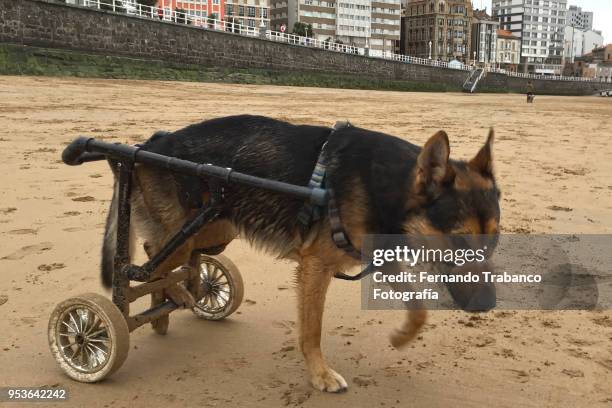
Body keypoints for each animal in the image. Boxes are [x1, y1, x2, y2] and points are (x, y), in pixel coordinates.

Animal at [101, 114, 502, 392]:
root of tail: (153, 143)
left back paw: (175, 303)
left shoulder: (378, 256)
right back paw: (175, 295)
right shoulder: (316, 268)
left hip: (215, 229)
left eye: (495, 241)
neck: (389, 188)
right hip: (186, 231)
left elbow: (418, 311)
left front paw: (402, 337)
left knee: (170, 260)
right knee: (146, 263)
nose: (488, 306)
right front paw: (320, 375)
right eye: (460, 243)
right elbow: (312, 330)